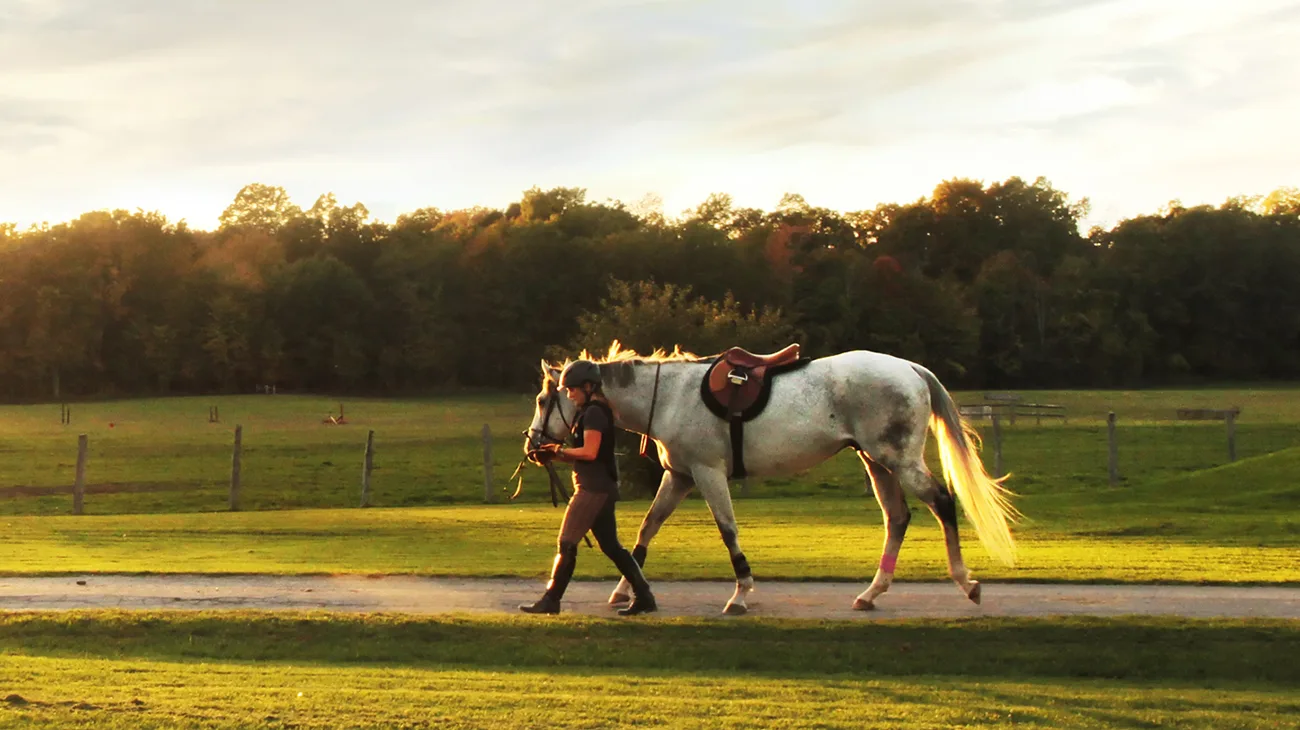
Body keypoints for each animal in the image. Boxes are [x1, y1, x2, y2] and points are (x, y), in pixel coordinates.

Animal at [522, 340, 1019, 613]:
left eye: (545, 400)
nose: (533, 446)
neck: (670, 396)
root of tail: (908, 368)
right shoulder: (680, 476)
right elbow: (646, 530)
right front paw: (627, 588)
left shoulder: (707, 473)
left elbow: (728, 531)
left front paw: (741, 594)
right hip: (877, 462)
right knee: (897, 519)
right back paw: (871, 593)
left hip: (898, 460)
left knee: (942, 503)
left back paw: (965, 582)